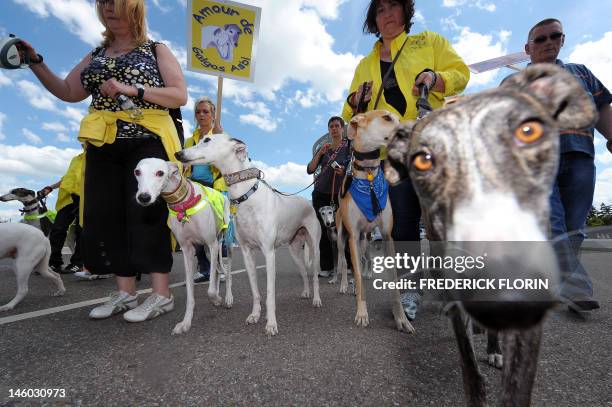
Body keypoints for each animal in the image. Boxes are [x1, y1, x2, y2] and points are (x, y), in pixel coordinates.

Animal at [134, 158, 232, 336]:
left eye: (160, 173)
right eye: (137, 172)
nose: (144, 197)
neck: (184, 203)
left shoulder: (212, 243)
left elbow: (210, 290)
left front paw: (216, 299)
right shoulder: (188, 250)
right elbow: (190, 294)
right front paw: (186, 322)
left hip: (222, 242)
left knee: (226, 271)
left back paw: (227, 298)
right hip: (207, 249)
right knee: (215, 271)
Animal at [175, 135, 322, 336]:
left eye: (207, 139)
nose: (178, 154)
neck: (247, 195)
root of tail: (307, 202)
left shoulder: (269, 252)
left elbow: (270, 293)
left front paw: (271, 323)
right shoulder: (246, 252)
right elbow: (255, 291)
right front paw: (255, 315)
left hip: (314, 247)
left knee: (314, 275)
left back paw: (316, 299)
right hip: (293, 250)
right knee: (303, 273)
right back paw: (306, 292)